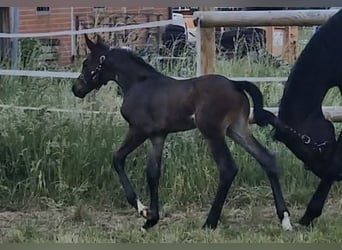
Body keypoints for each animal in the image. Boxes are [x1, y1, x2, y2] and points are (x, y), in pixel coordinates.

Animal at [71, 34, 292, 231]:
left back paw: (209, 223)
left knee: (228, 168)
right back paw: (285, 219)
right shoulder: (158, 135)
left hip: (213, 132)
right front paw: (151, 220)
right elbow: (153, 173)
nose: (76, 89)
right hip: (236, 129)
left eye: (85, 63)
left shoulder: (139, 130)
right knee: (267, 159)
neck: (138, 83)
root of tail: (234, 84)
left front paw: (142, 210)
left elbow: (117, 158)